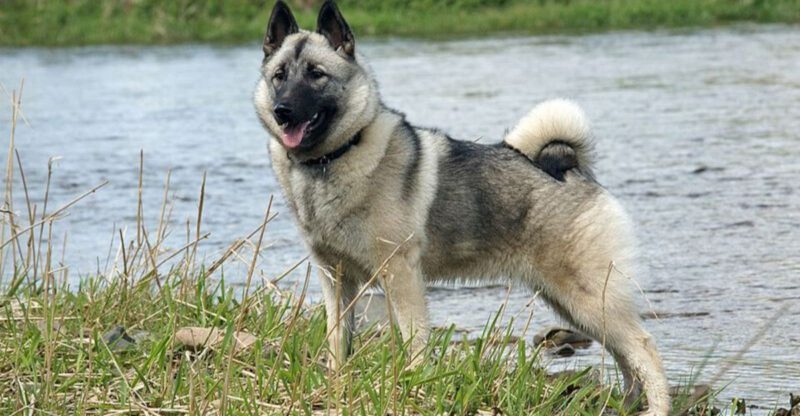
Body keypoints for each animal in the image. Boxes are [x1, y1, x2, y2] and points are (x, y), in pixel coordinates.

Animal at [253, 1, 670, 414]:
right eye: (279, 76)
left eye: (316, 74)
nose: (282, 110)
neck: (334, 158)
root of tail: (572, 169)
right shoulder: (336, 280)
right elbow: (337, 342)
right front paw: (337, 386)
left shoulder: (401, 276)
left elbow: (414, 341)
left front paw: (412, 386)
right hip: (572, 303)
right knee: (623, 355)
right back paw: (628, 404)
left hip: (587, 297)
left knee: (644, 348)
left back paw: (656, 407)